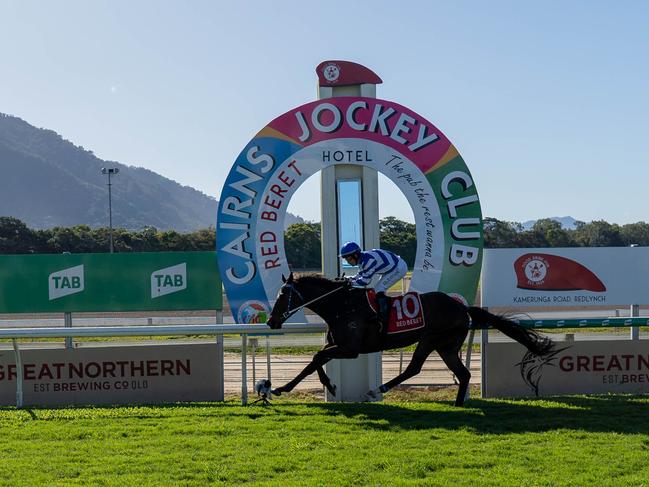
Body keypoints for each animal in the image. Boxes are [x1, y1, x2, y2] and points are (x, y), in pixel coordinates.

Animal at [266, 272, 556, 406]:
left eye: (282, 295)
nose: (271, 321)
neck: (341, 305)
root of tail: (462, 307)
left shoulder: (350, 348)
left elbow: (316, 358)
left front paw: (281, 388)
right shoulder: (336, 344)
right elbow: (316, 361)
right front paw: (328, 385)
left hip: (434, 340)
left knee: (416, 368)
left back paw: (377, 389)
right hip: (444, 346)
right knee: (456, 373)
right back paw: (457, 403)